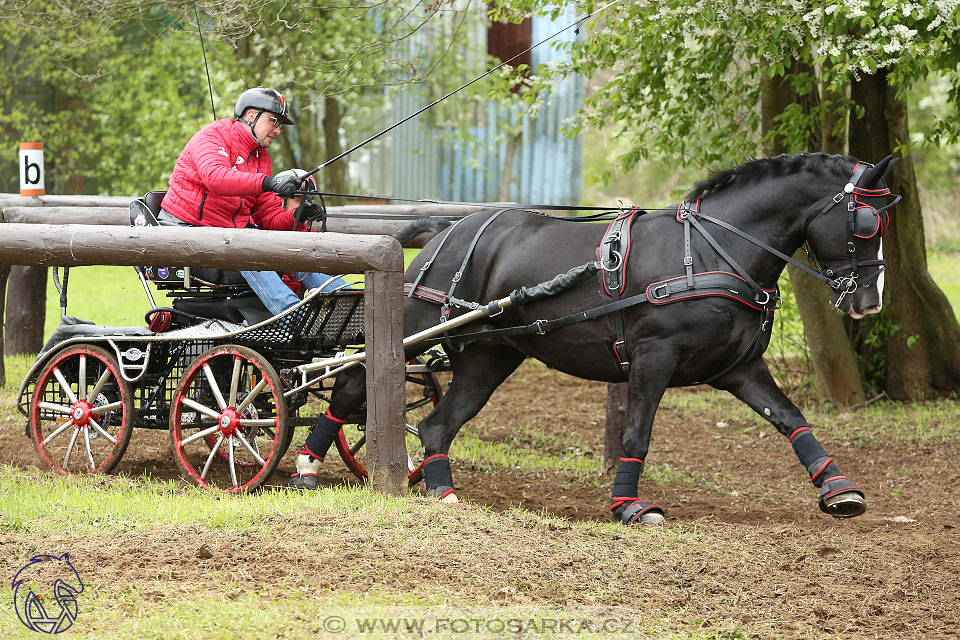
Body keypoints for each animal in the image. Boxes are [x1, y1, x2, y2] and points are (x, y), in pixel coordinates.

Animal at [292, 152, 900, 524]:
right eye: (865, 224)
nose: (869, 303)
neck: (710, 250)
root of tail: (448, 230)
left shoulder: (737, 368)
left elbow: (791, 419)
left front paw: (837, 488)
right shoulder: (655, 357)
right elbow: (637, 433)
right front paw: (630, 506)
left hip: (491, 355)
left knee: (438, 422)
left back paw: (442, 491)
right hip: (417, 327)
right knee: (353, 384)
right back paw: (305, 465)